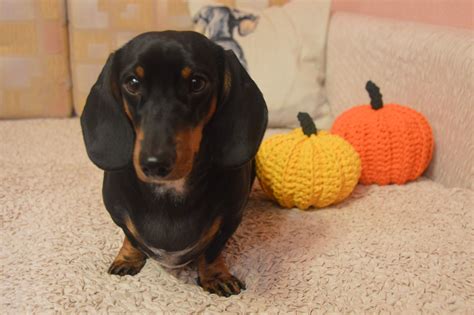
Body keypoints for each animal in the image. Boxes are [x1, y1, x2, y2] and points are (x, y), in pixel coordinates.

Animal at [80, 30, 268, 298]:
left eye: (196, 83)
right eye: (133, 83)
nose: (154, 164)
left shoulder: (231, 218)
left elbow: (212, 251)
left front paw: (216, 276)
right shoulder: (117, 213)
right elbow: (130, 235)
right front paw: (127, 258)